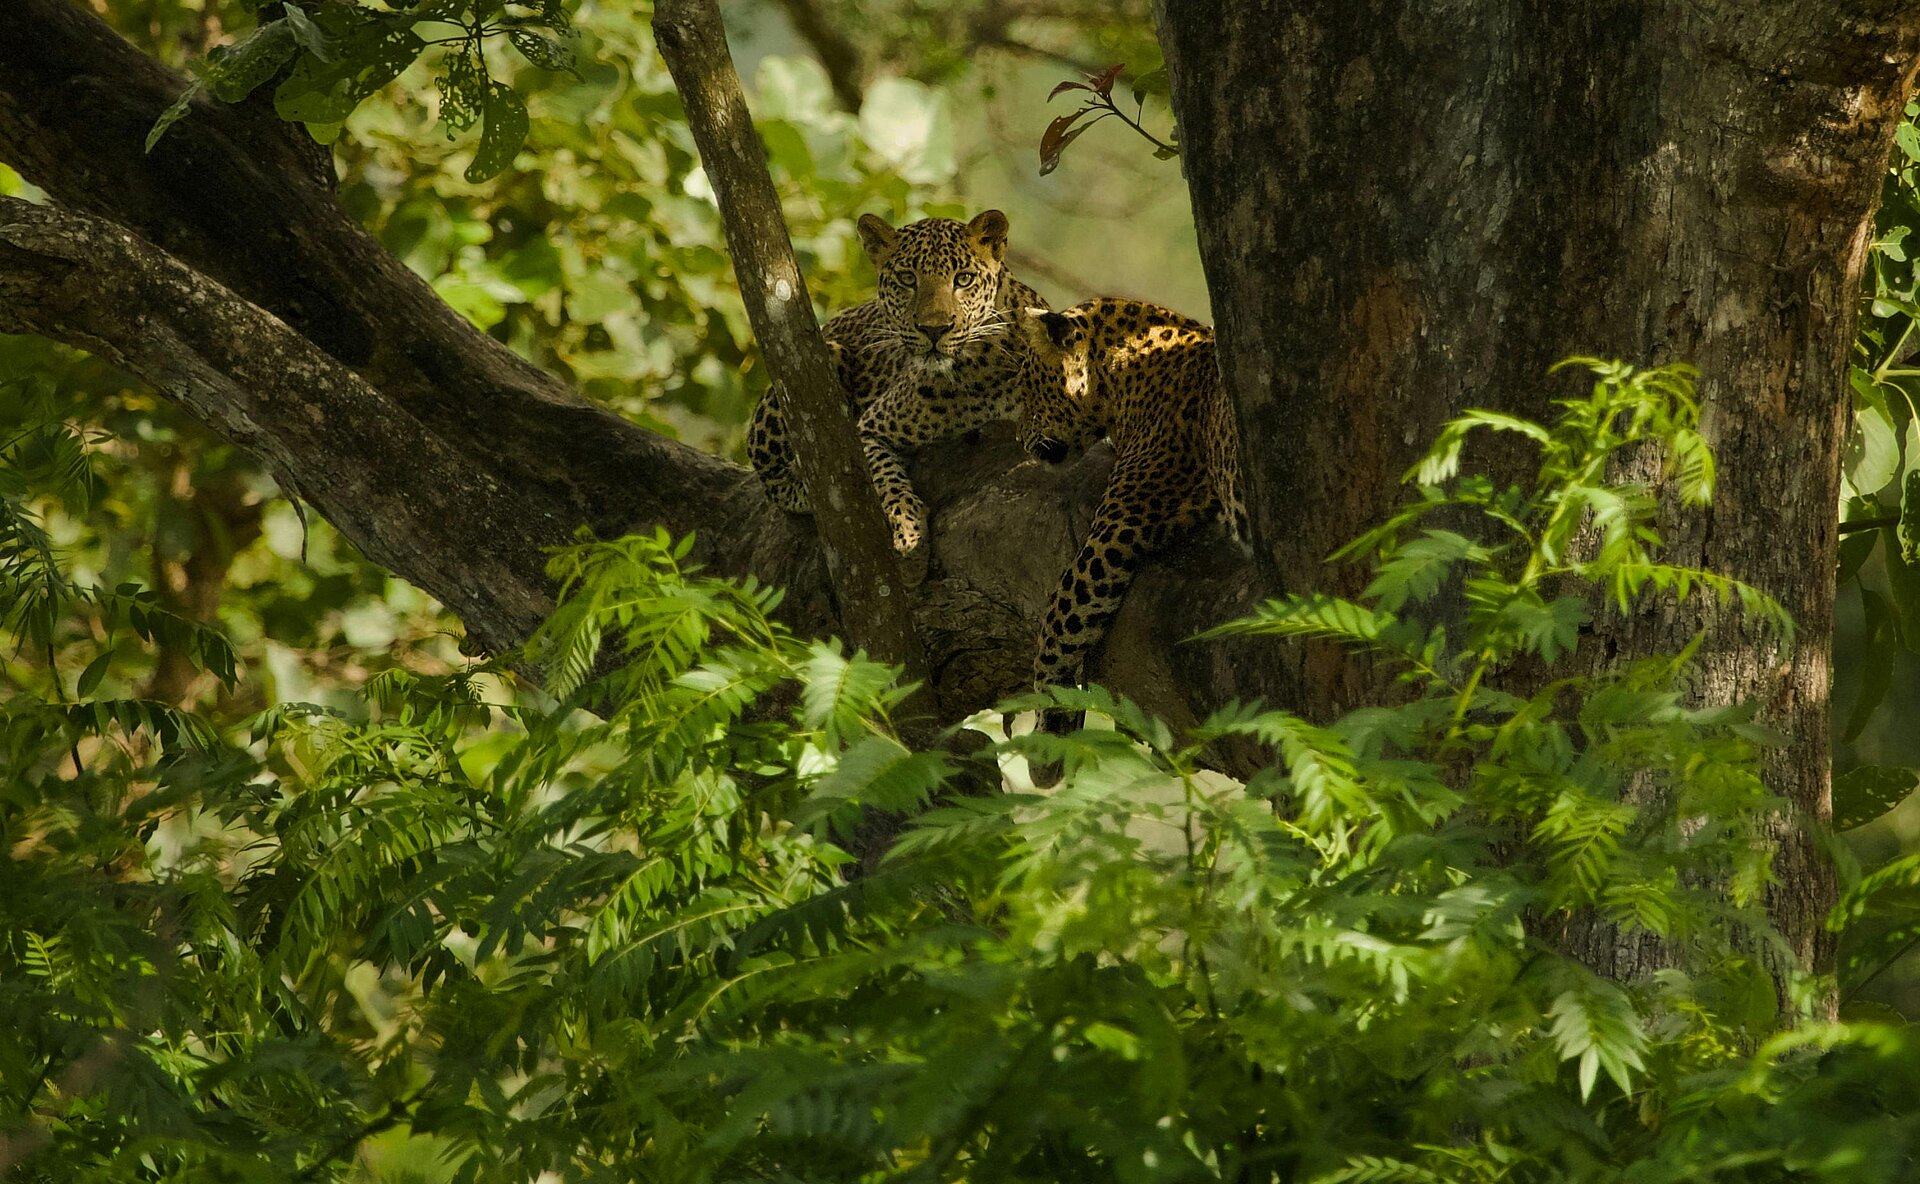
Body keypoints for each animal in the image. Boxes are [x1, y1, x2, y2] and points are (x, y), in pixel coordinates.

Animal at [744, 210, 1047, 574]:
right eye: (907, 279)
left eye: (963, 279)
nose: (934, 329)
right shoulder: (867, 429)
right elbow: (885, 478)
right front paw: (909, 536)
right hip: (825, 356)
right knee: (771, 474)